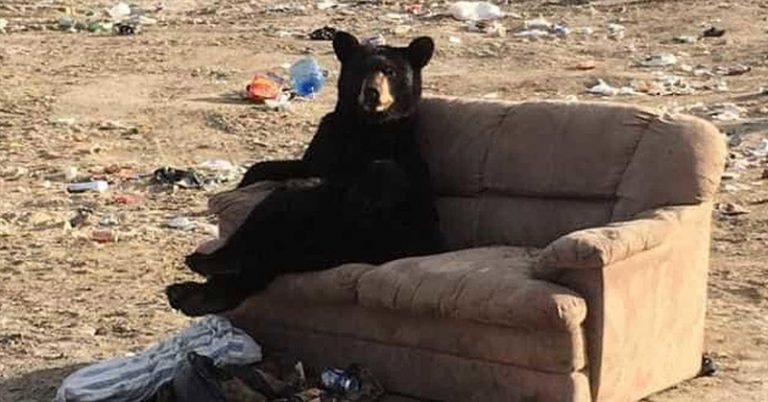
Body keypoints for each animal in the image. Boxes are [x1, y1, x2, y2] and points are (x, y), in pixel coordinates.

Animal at [166, 31, 444, 316]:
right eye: (360, 69)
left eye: (390, 71)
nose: (372, 92)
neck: (364, 124)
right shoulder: (326, 140)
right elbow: (282, 167)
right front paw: (245, 181)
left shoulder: (390, 149)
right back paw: (194, 287)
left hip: (362, 235)